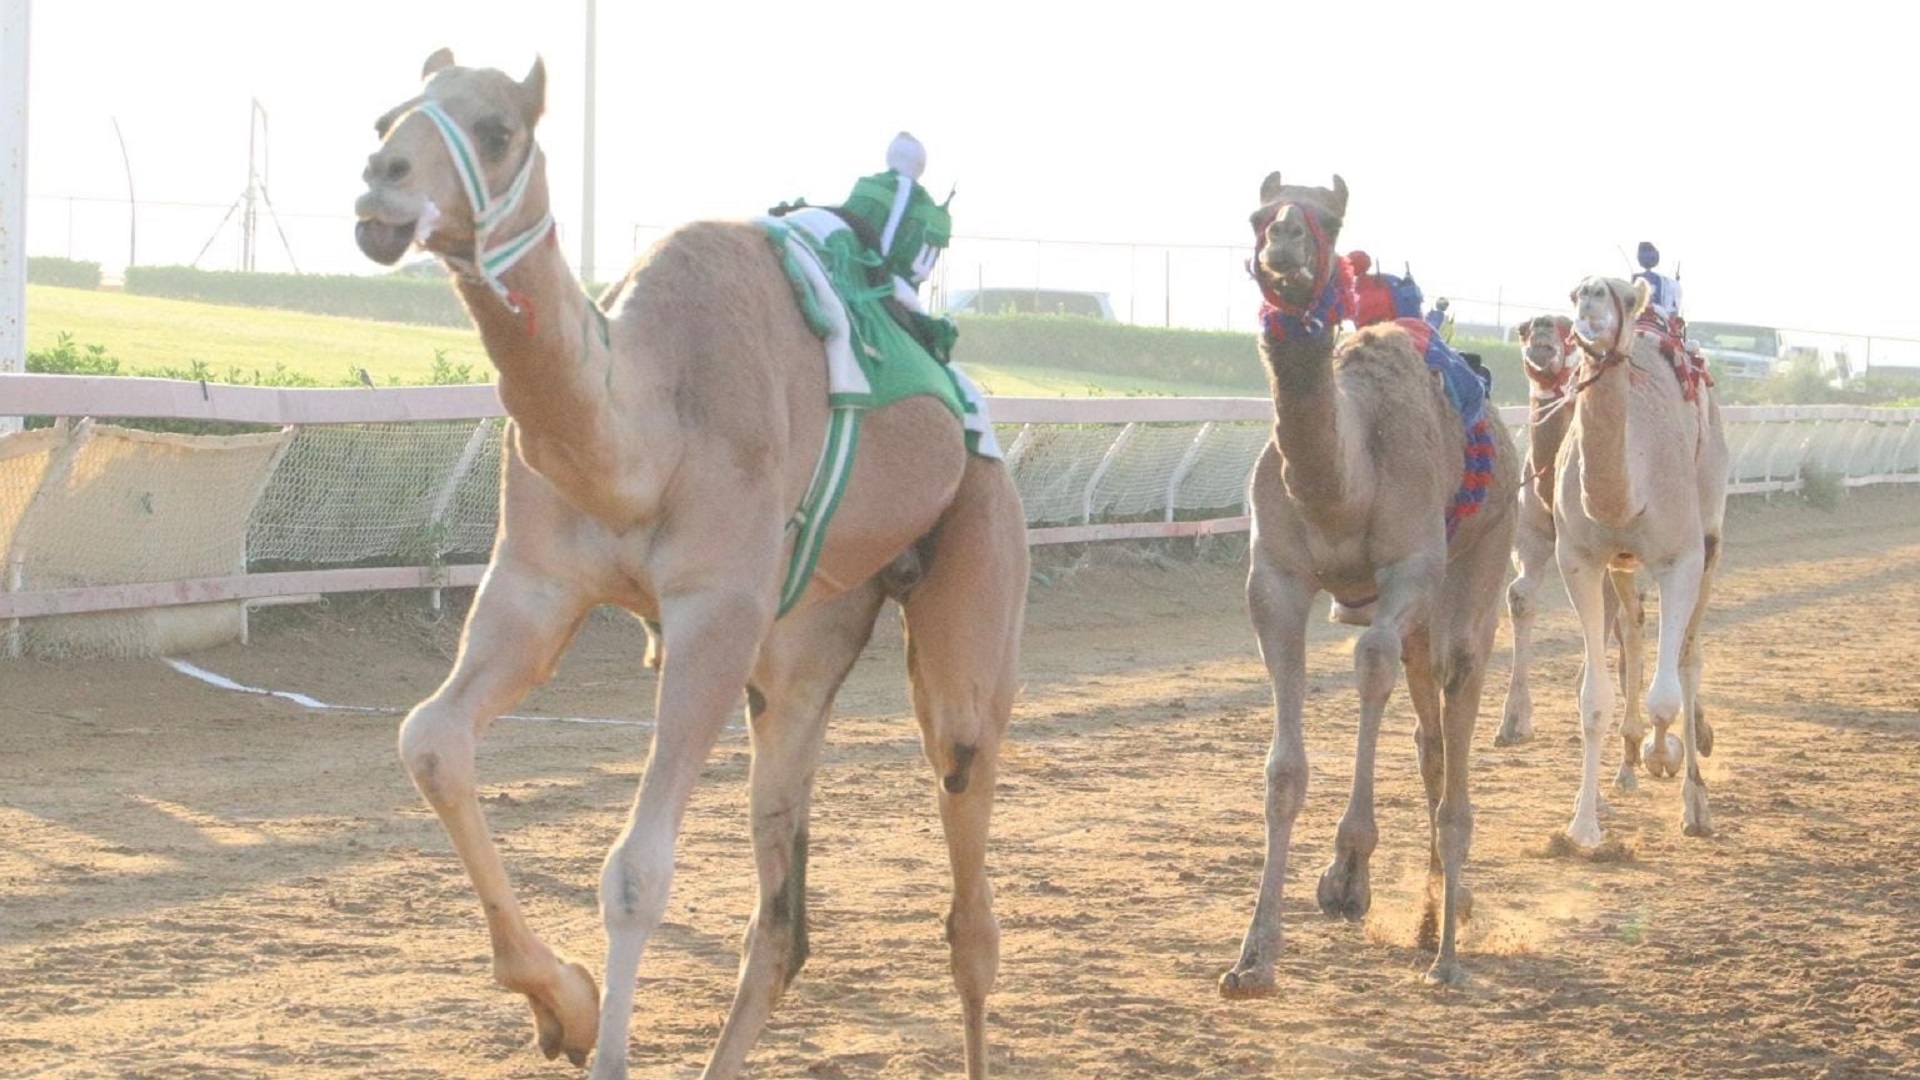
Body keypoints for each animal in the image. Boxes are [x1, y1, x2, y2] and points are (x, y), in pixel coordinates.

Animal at [353, 52, 1029, 1076]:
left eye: (499, 129)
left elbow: (637, 870)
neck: (648, 427)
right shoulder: (537, 585)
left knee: (970, 888)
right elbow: (429, 740)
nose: (380, 184)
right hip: (803, 645)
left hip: (978, 551)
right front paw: (564, 1007)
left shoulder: (716, 607)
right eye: (390, 115)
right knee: (782, 921)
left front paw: (595, 1032)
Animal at [1221, 171, 1520, 991]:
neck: (1343, 482)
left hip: (1481, 558)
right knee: (1428, 730)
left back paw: (1446, 936)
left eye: (1328, 219)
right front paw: (1252, 958)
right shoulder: (1273, 583)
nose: (1284, 241)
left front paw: (1348, 870)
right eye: (1258, 214)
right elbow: (1283, 769)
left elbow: (1370, 665)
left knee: (1454, 682)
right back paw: (1436, 915)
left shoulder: (1410, 570)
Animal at [1497, 311, 1651, 791]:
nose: (1542, 329)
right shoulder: (1532, 539)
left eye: (1567, 329)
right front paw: (1513, 723)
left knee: (1635, 618)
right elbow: (1521, 598)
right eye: (1524, 328)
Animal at [1551, 272, 1735, 845]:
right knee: (1632, 633)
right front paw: (1583, 825)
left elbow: (1667, 695)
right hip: (1623, 566)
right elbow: (1593, 699)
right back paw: (1628, 761)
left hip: (1711, 536)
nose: (1592, 295)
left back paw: (1689, 784)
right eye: (1573, 293)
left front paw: (1668, 757)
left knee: (1688, 655)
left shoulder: (1682, 558)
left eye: (1625, 299)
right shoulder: (1580, 559)